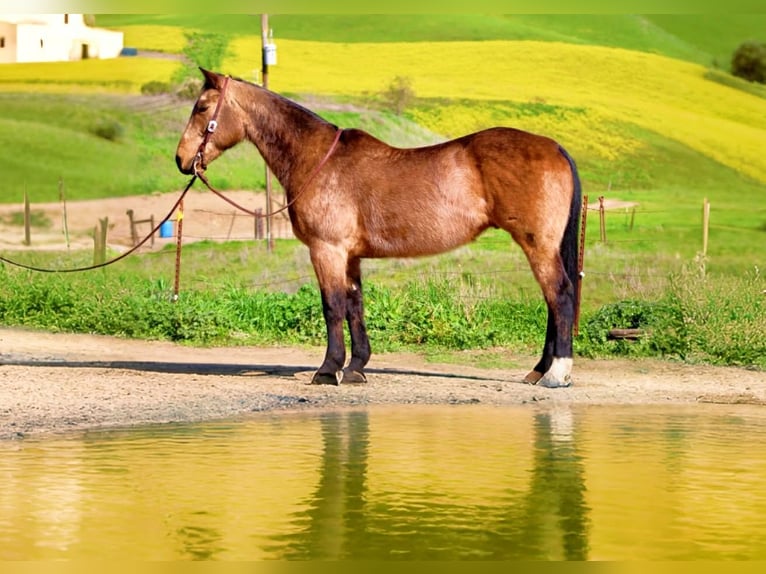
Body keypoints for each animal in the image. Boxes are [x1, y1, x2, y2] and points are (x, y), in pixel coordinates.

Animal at [176, 68, 582, 388]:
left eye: (202, 108)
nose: (181, 160)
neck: (317, 160)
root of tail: (555, 147)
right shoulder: (350, 255)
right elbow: (355, 305)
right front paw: (356, 368)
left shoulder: (326, 249)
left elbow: (332, 306)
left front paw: (327, 370)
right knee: (553, 301)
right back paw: (538, 370)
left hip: (537, 244)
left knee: (559, 296)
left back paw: (555, 374)